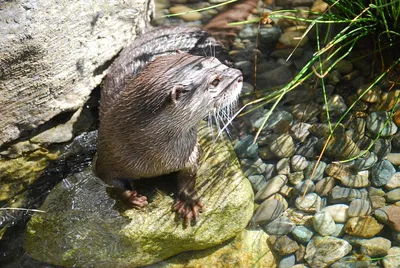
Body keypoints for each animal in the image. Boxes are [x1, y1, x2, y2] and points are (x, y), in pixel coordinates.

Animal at [95, 26, 242, 223]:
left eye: (216, 61)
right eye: (215, 81)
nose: (239, 75)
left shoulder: (190, 152)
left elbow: (189, 175)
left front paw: (188, 201)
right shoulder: (107, 155)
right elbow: (110, 181)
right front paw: (131, 197)